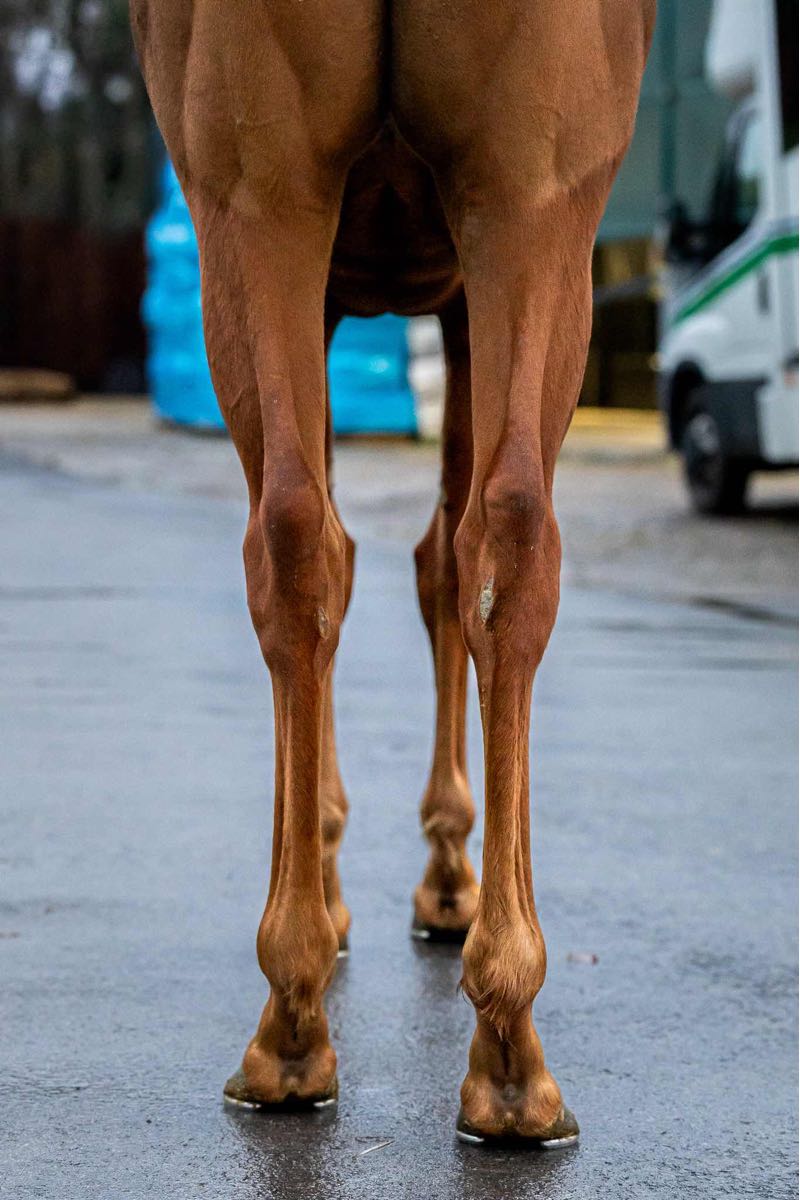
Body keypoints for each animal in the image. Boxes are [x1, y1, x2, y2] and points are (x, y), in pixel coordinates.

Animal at [130, 0, 654, 1145]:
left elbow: (420, 558)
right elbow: (430, 564)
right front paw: (415, 872)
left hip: (295, 202)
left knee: (329, 537)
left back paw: (318, 1020)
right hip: (493, 208)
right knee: (455, 540)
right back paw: (472, 1042)